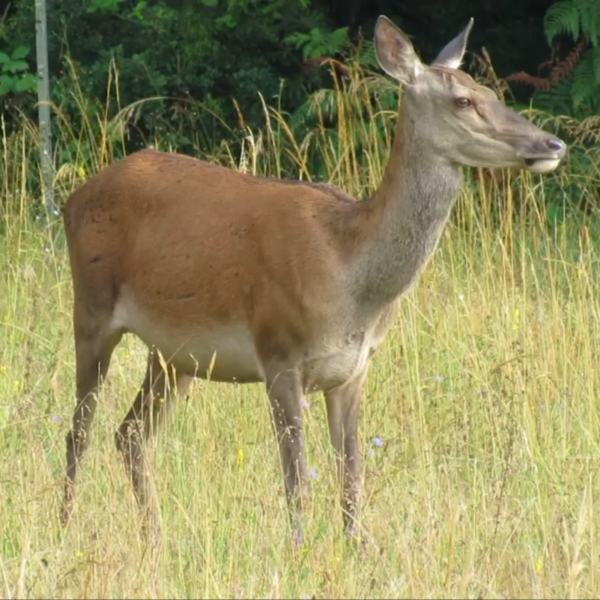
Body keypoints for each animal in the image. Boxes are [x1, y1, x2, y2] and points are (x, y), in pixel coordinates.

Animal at [59, 15, 568, 548]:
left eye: (489, 89)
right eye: (463, 101)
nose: (553, 145)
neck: (352, 279)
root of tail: (73, 198)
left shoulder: (354, 369)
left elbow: (351, 476)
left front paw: (356, 549)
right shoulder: (279, 353)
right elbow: (297, 480)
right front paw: (298, 552)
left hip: (174, 354)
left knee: (131, 433)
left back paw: (155, 538)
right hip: (91, 309)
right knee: (80, 429)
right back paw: (65, 526)